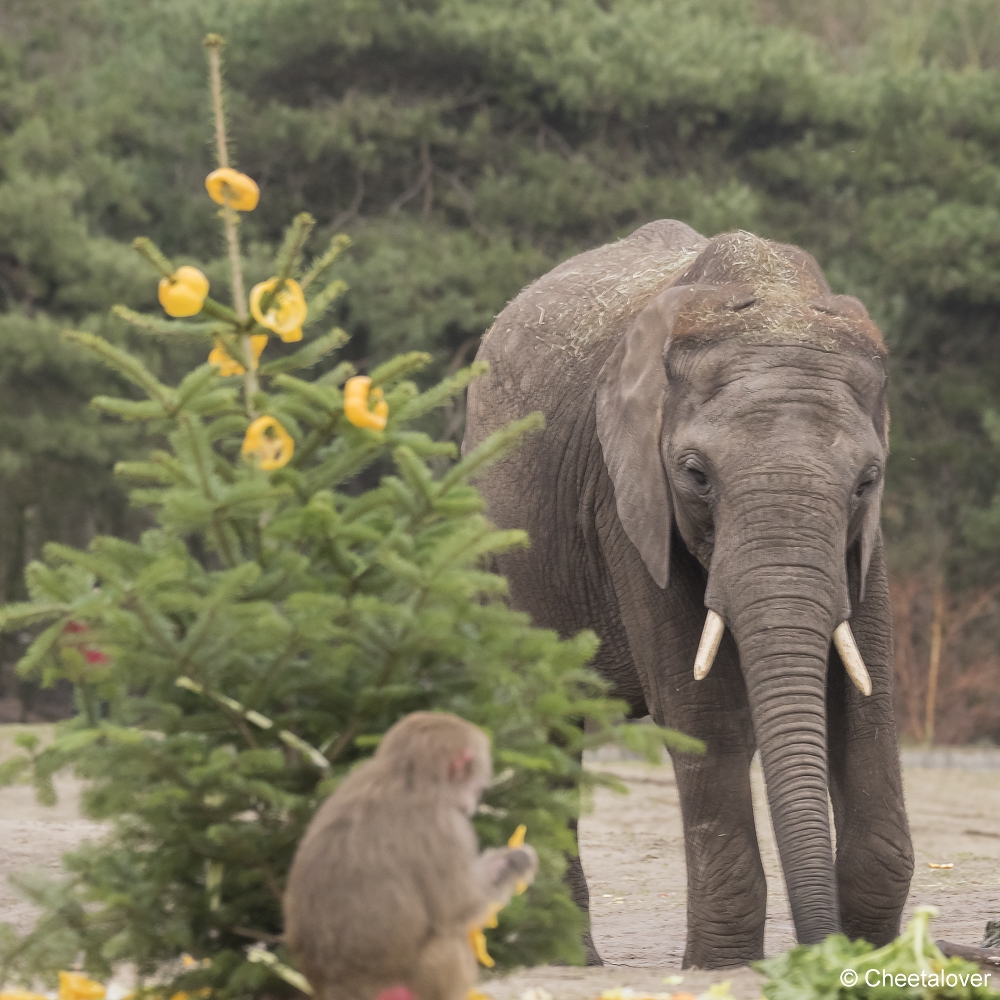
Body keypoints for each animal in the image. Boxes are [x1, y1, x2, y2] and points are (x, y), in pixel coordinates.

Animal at [460, 219, 916, 968]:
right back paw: (565, 961)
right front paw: (722, 964)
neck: (773, 295)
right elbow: (708, 716)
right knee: (545, 723)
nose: (818, 949)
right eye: (696, 475)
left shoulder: (864, 545)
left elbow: (867, 703)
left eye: (868, 480)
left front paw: (870, 955)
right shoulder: (623, 499)